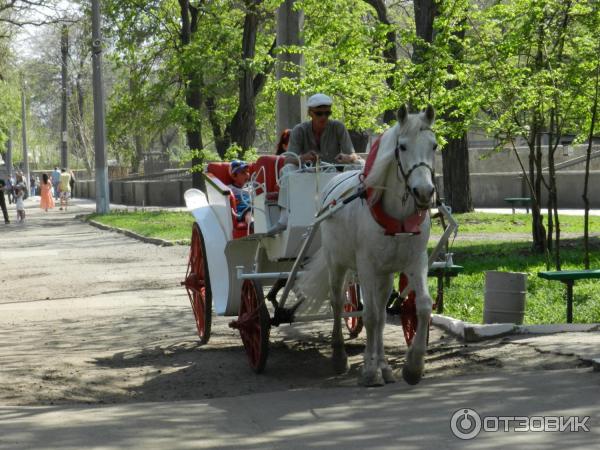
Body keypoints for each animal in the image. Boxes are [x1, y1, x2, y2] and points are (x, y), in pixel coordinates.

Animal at [298, 105, 438, 386]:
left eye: (434, 145)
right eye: (402, 146)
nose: (424, 192)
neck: (398, 217)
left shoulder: (416, 261)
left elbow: (421, 306)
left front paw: (413, 366)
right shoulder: (365, 265)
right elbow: (370, 315)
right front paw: (369, 370)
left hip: (384, 273)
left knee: (382, 315)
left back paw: (383, 365)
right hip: (337, 262)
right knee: (338, 302)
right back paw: (340, 356)